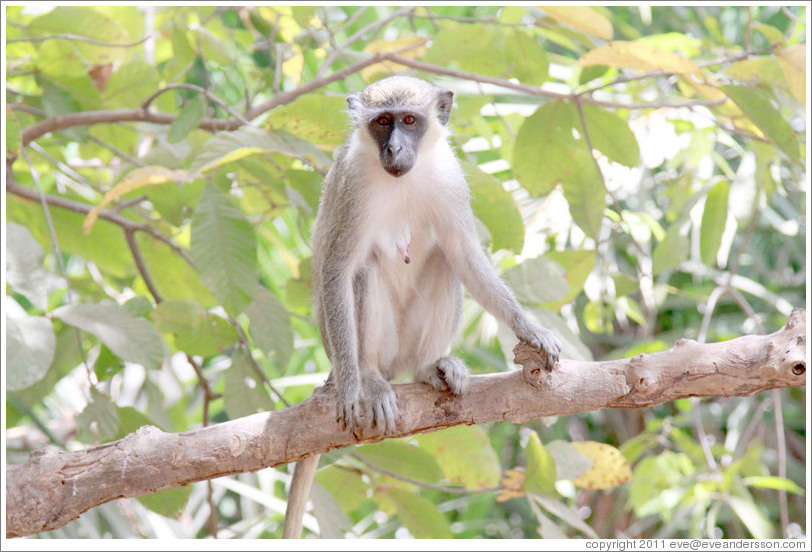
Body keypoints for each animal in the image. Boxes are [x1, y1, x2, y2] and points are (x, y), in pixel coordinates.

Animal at [282, 75, 560, 536]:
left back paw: (431, 367)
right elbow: (337, 271)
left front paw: (531, 330)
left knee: (444, 262)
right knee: (362, 271)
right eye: (382, 122)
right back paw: (369, 377)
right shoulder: (354, 185)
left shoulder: (449, 178)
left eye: (409, 120)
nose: (394, 149)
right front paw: (353, 388)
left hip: (409, 344)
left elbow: (466, 258)